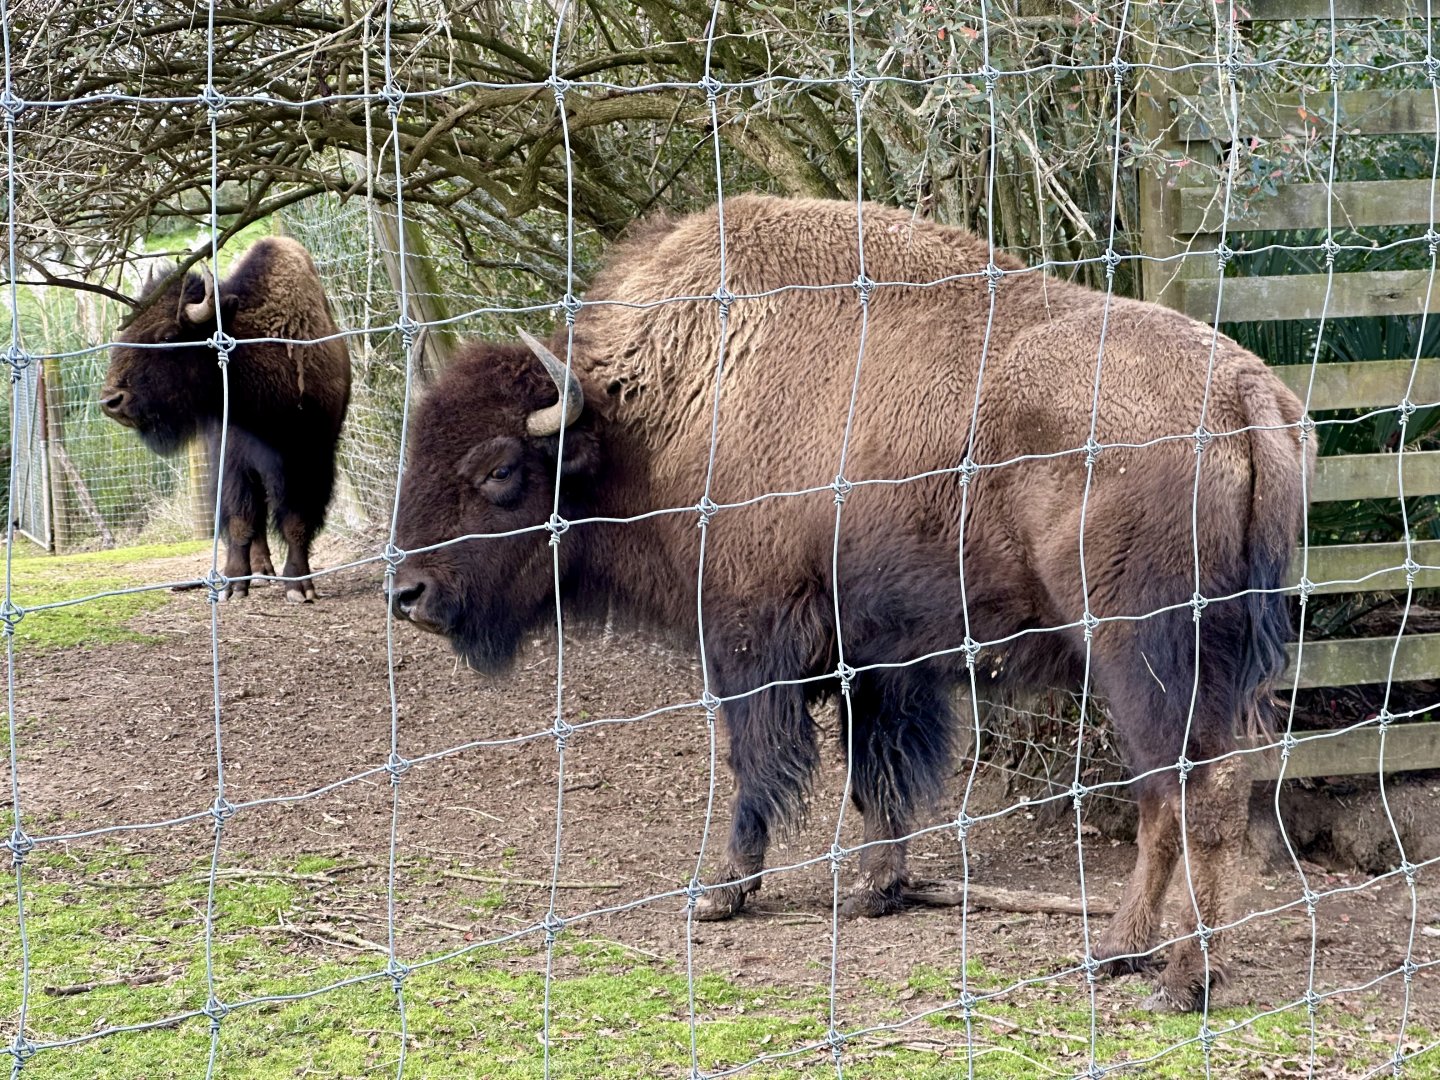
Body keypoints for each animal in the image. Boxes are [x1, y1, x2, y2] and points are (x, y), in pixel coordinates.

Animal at [103, 236, 351, 602]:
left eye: (167, 336)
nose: (111, 401)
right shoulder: (231, 457)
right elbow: (239, 520)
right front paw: (233, 585)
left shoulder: (309, 458)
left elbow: (296, 521)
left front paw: (299, 585)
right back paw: (259, 570)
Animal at [389, 195, 1312, 1011]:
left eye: (500, 469)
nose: (407, 592)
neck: (667, 407)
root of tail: (1242, 393)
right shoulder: (879, 655)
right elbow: (878, 775)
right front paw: (879, 888)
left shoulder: (750, 638)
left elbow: (758, 762)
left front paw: (720, 894)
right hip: (1222, 656)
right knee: (1196, 788)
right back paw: (1124, 954)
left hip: (1140, 650)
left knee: (1192, 791)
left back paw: (1176, 976)